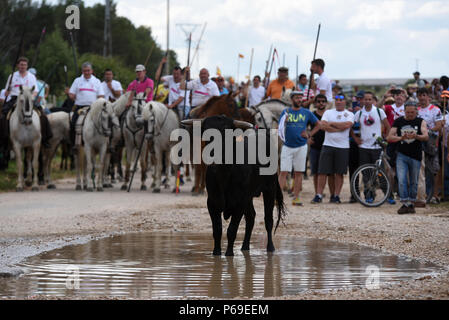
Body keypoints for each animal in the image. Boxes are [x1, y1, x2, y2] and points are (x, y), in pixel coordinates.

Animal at [184, 115, 286, 255]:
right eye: (205, 131)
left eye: (226, 133)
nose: (212, 155)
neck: (224, 174)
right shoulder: (212, 204)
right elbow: (217, 230)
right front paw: (216, 253)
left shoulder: (239, 204)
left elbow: (231, 230)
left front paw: (229, 254)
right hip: (249, 197)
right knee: (251, 217)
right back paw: (245, 247)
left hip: (269, 189)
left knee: (268, 220)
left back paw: (270, 248)